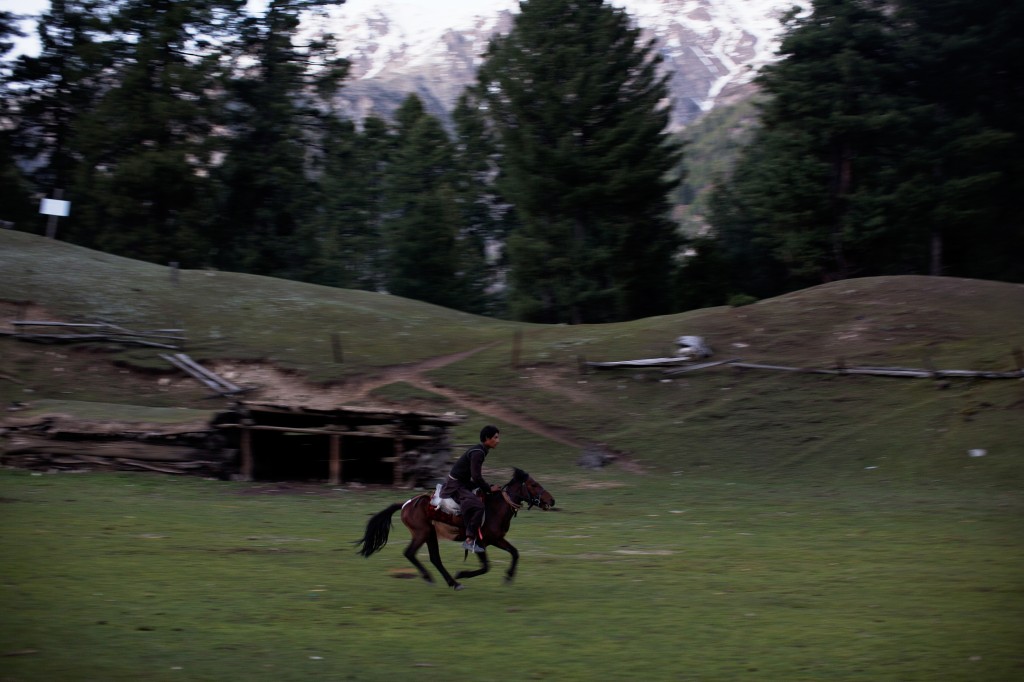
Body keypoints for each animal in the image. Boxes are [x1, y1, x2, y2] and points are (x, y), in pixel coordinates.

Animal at [356, 464, 557, 585]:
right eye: (533, 485)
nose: (552, 500)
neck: (495, 508)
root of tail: (406, 504)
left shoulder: (496, 539)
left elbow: (515, 553)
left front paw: (508, 577)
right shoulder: (480, 542)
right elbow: (486, 567)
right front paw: (462, 573)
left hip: (430, 534)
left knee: (434, 558)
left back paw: (452, 582)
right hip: (422, 533)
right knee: (410, 553)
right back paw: (434, 578)